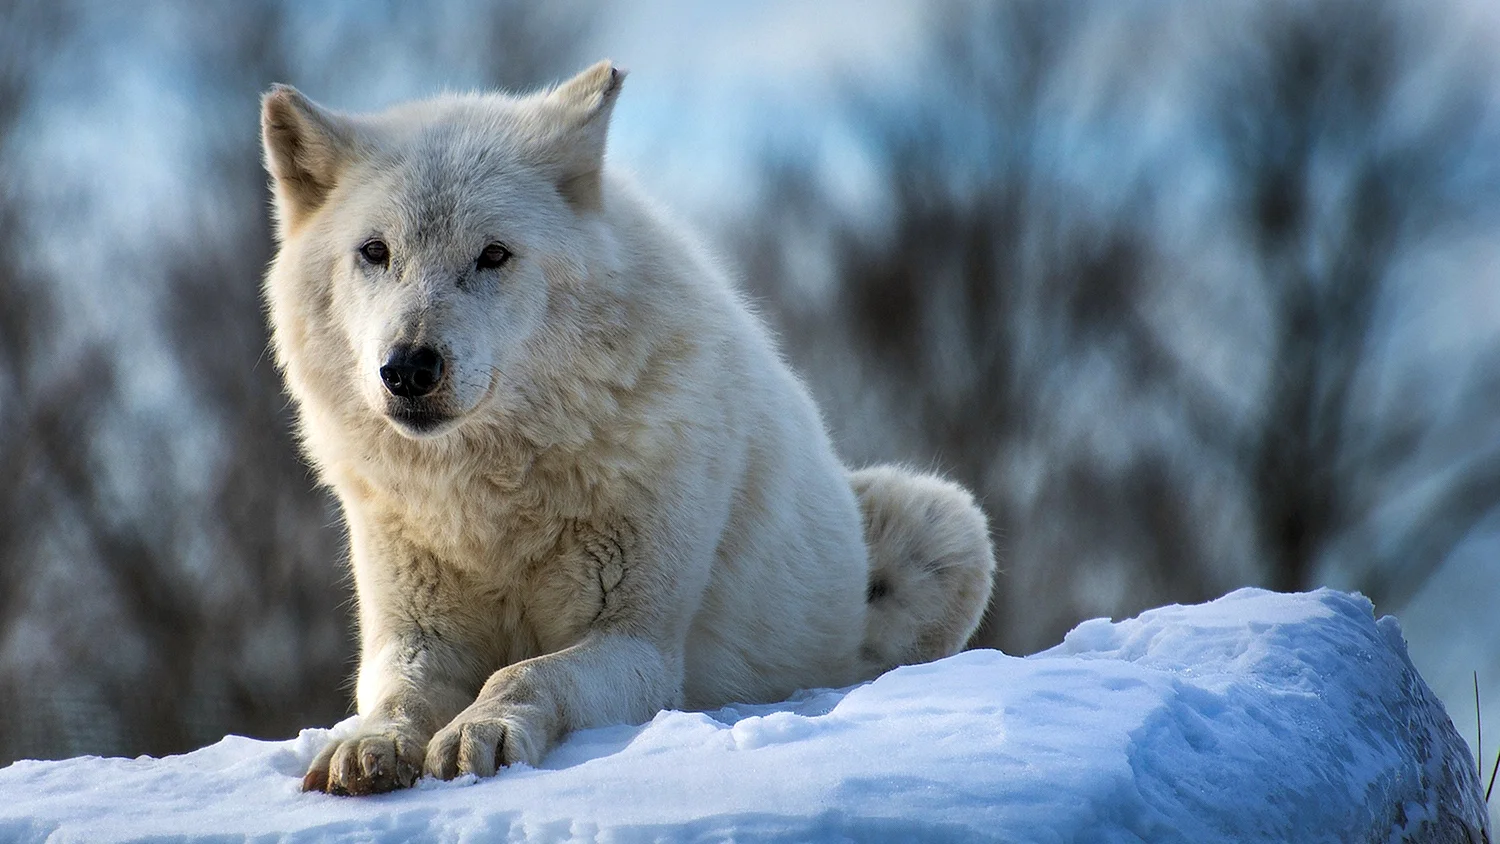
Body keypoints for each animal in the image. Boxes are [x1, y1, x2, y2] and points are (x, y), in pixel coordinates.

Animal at [258, 62, 996, 797]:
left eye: (493, 254)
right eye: (375, 251)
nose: (408, 367)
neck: (491, 505)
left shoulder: (637, 646)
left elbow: (523, 673)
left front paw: (480, 729)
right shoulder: (415, 639)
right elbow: (398, 696)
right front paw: (369, 744)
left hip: (945, 519)